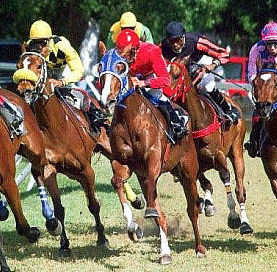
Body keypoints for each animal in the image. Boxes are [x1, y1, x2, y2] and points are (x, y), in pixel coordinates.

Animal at [0, 88, 62, 270]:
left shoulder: (8, 182)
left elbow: (21, 226)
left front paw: (33, 233)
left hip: (35, 148)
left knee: (38, 171)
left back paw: (51, 220)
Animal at [13, 50, 109, 255]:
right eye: (18, 66)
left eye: (38, 66)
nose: (24, 89)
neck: (57, 128)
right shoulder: (48, 169)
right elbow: (58, 210)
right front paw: (63, 242)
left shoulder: (87, 171)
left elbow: (94, 205)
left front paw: (102, 238)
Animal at [97, 49, 205, 264]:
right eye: (100, 67)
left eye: (121, 67)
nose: (107, 101)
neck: (130, 119)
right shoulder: (124, 163)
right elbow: (116, 181)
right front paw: (133, 227)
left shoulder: (153, 158)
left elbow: (152, 186)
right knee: (159, 212)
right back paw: (165, 251)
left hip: (188, 172)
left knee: (192, 208)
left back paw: (198, 248)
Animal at [168, 55, 252, 234]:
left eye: (176, 75)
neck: (198, 121)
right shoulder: (193, 163)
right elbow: (205, 184)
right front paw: (206, 205)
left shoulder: (218, 156)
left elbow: (225, 176)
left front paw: (233, 217)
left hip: (236, 151)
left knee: (240, 189)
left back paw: (245, 223)